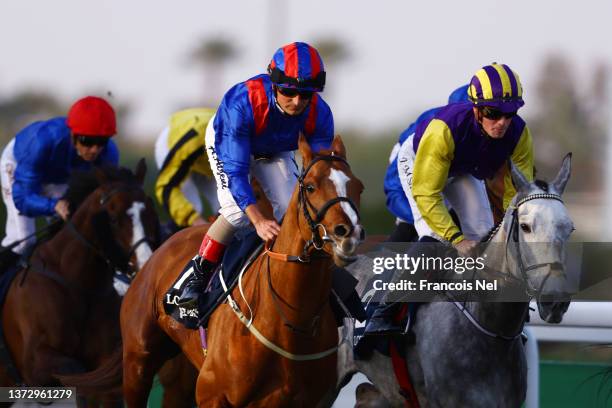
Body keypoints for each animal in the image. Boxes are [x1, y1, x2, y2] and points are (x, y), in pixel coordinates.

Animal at [0, 159, 160, 402]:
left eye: (150, 213)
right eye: (113, 218)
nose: (145, 263)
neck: (79, 285)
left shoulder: (104, 358)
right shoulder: (34, 364)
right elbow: (74, 371)